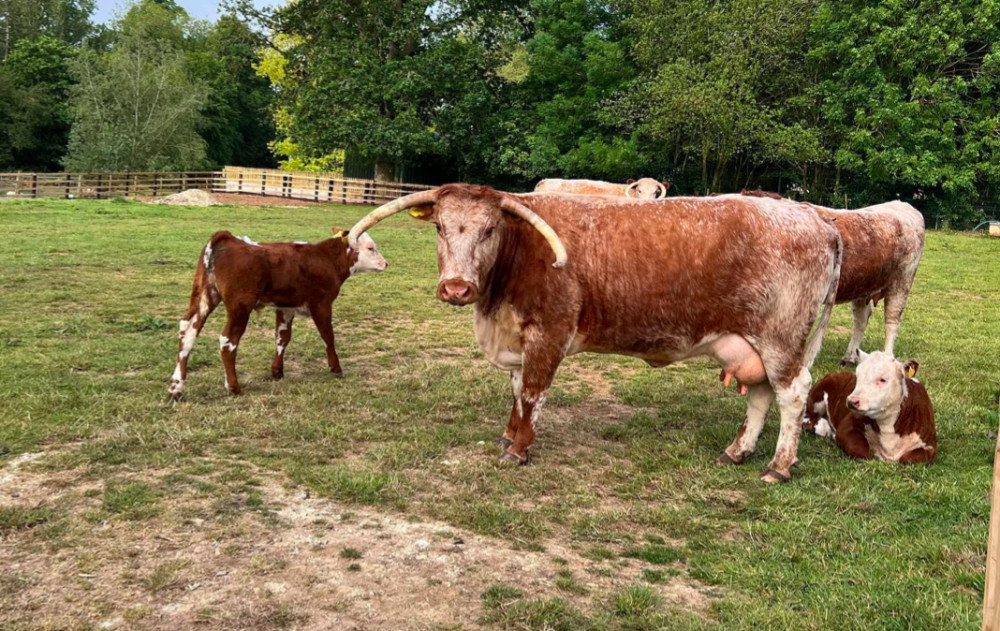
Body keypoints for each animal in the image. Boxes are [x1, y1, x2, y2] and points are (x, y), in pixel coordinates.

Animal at [168, 228, 386, 400]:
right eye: (370, 248)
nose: (386, 264)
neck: (325, 258)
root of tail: (227, 238)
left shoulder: (285, 307)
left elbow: (282, 337)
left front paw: (277, 371)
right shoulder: (321, 304)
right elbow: (328, 336)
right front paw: (336, 368)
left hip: (204, 296)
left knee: (187, 330)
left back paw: (176, 387)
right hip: (240, 306)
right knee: (228, 340)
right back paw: (233, 387)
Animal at [352, 188, 844, 484]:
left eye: (489, 229)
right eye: (439, 227)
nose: (456, 288)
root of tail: (814, 218)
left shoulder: (549, 333)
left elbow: (532, 393)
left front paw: (519, 450)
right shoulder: (519, 340)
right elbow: (515, 392)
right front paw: (509, 437)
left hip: (780, 339)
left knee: (792, 394)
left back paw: (778, 466)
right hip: (751, 342)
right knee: (761, 395)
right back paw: (737, 451)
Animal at [740, 190, 924, 362]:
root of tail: (904, 206)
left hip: (901, 283)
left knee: (892, 321)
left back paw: (886, 358)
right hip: (862, 286)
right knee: (861, 318)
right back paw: (850, 356)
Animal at [800, 350, 932, 464]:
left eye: (883, 379)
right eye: (858, 376)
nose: (851, 401)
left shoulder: (929, 445)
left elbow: (909, 459)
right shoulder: (846, 427)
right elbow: (862, 451)